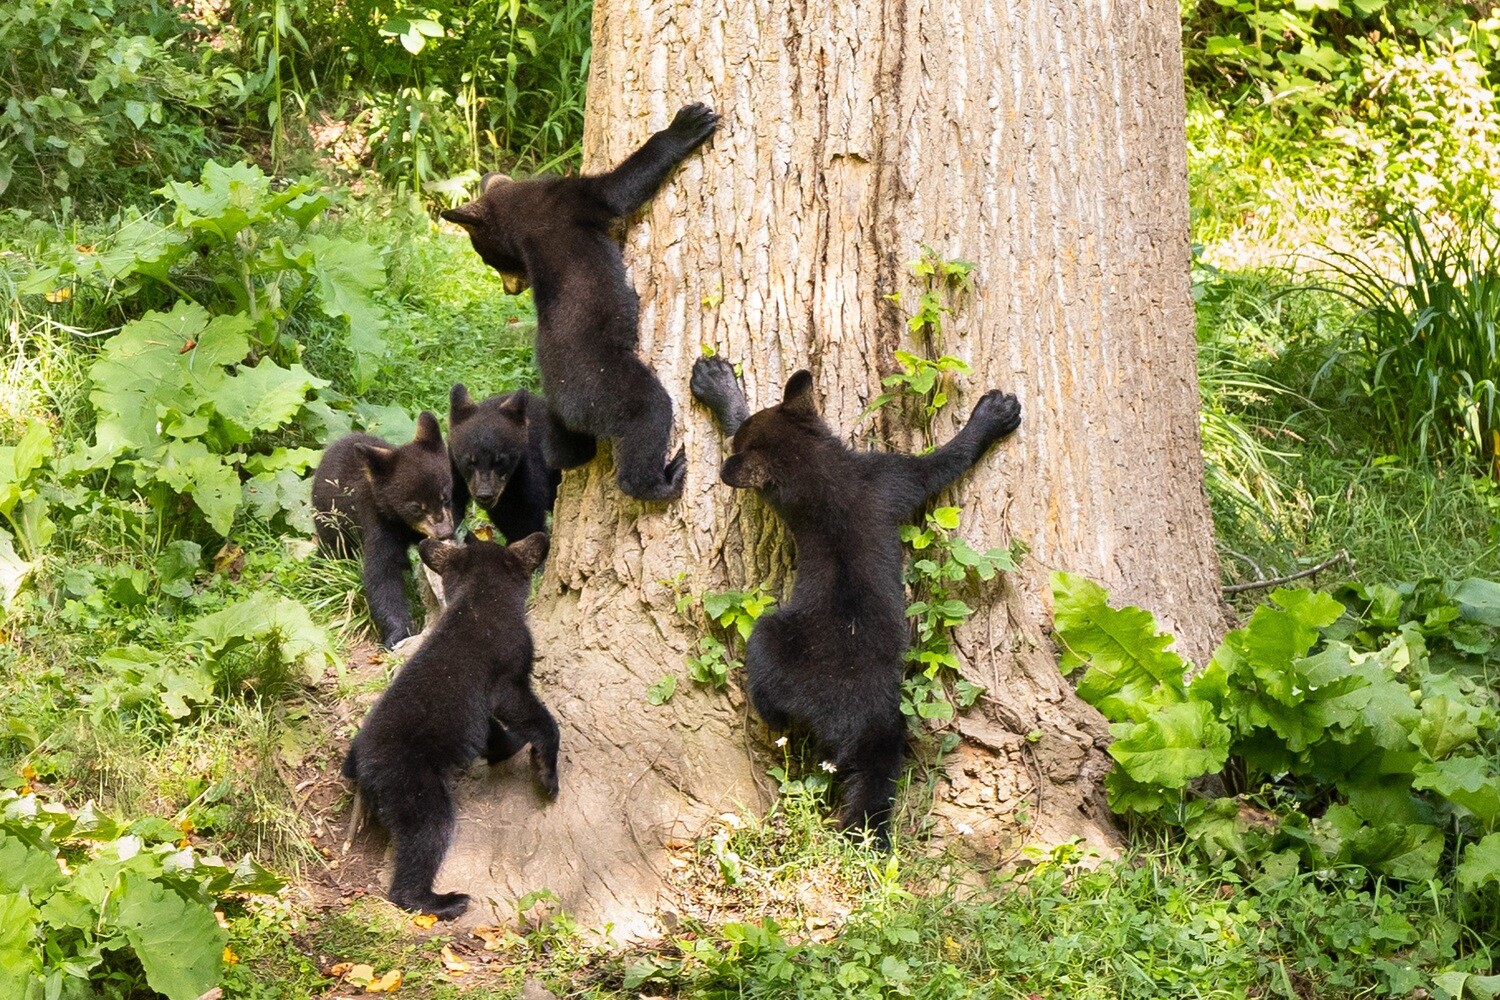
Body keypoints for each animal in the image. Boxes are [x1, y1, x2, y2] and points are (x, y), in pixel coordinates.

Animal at [312, 412, 455, 649]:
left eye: (445, 496)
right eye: (416, 507)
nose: (445, 533)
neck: (404, 524)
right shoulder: (378, 522)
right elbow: (382, 574)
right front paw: (398, 634)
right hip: (331, 522)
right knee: (333, 549)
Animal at [341, 531, 559, 921]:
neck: (479, 595)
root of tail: (361, 769)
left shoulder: (477, 708)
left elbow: (491, 732)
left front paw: (509, 747)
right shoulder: (506, 676)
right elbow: (530, 714)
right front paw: (546, 773)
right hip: (412, 786)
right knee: (426, 838)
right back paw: (442, 901)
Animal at [438, 102, 721, 502]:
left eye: (490, 260)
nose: (510, 290)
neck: (521, 205)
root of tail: (569, 408)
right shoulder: (572, 200)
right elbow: (619, 188)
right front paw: (688, 124)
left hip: (557, 415)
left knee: (563, 451)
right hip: (608, 386)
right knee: (648, 414)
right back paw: (665, 479)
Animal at [690, 357, 1022, 846]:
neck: (818, 468)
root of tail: (865, 726)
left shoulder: (882, 478)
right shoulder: (894, 477)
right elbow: (945, 460)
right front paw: (995, 414)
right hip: (775, 640)